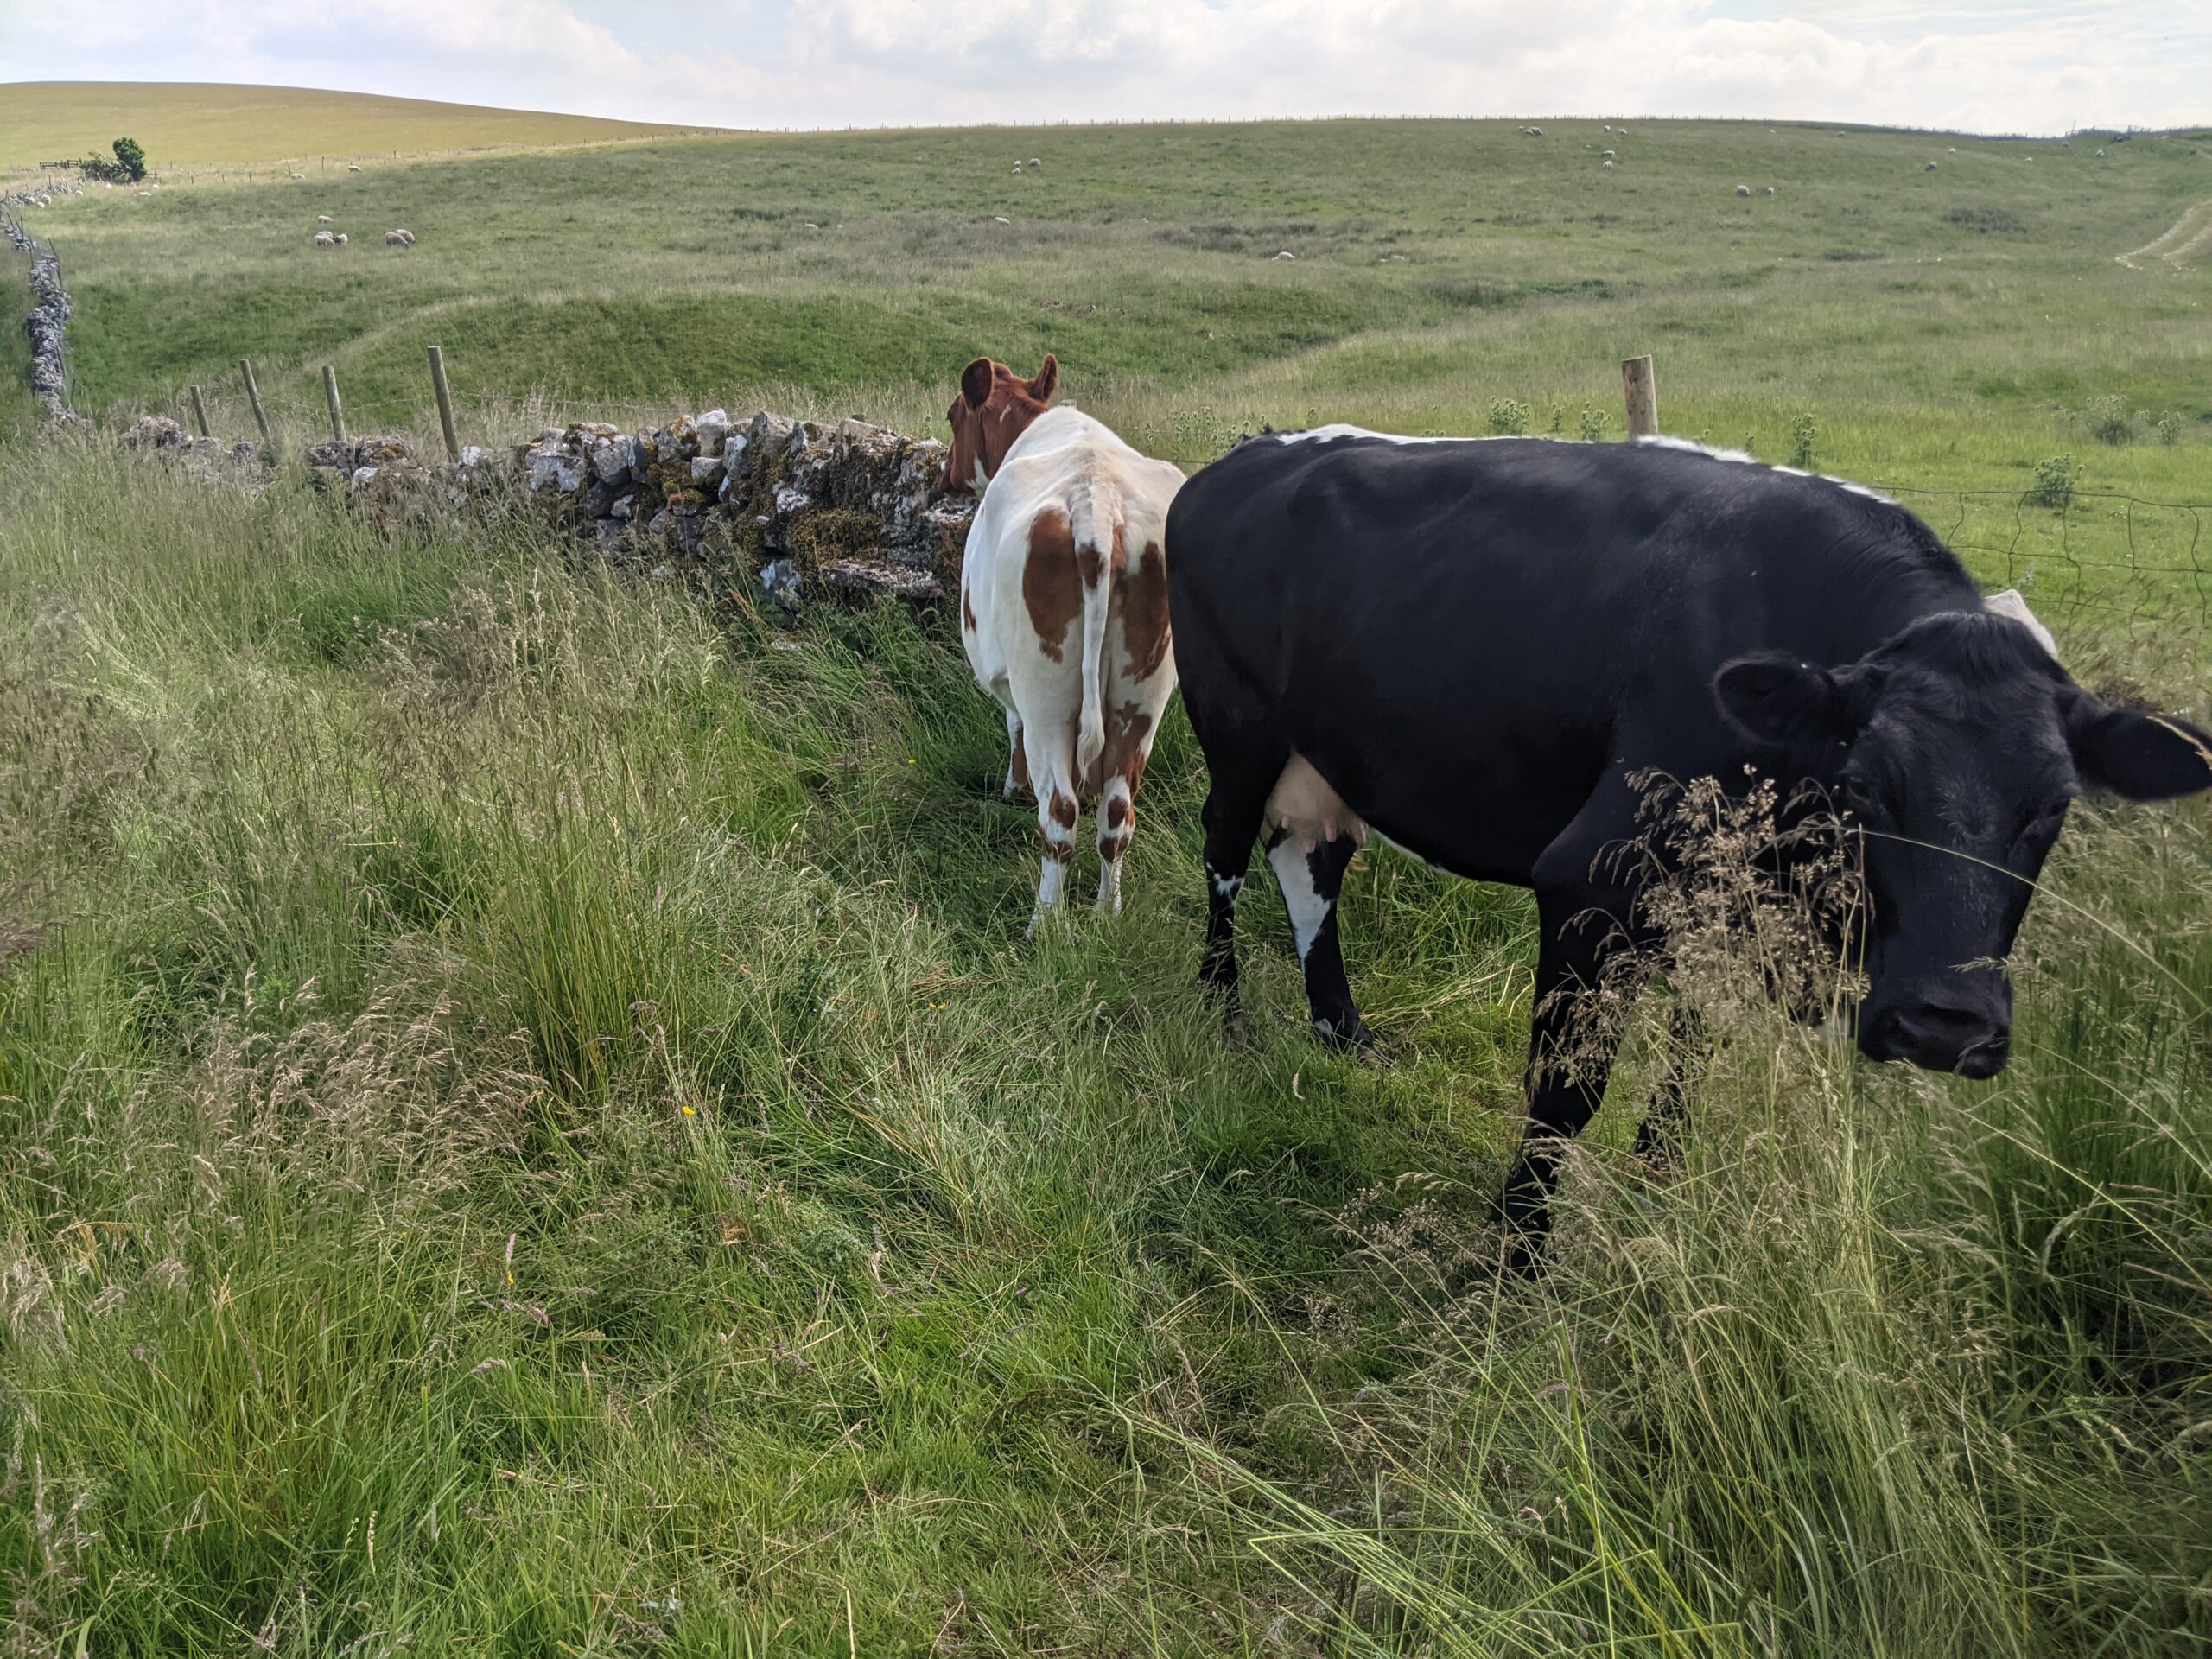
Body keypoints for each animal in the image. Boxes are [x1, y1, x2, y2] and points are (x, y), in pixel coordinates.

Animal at [950, 362, 1194, 929]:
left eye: (953, 418)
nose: (944, 473)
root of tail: (1095, 504)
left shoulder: (1009, 682)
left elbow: (1012, 730)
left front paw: (1012, 790)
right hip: (1141, 701)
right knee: (1116, 815)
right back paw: (1109, 914)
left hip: (1048, 697)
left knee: (1060, 813)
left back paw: (1045, 925)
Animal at [1167, 431, 2202, 1274]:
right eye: (1867, 783)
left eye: (2055, 805)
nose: (1944, 1023)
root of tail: (1239, 460)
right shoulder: (1590, 881)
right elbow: (1566, 1089)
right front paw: (1516, 1258)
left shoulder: (1726, 906)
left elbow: (1693, 1056)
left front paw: (1656, 1185)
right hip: (1238, 729)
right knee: (1225, 850)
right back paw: (1224, 1014)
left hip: (1325, 754)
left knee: (1312, 863)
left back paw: (1343, 1030)